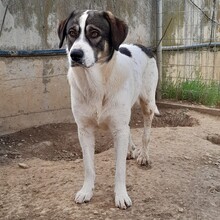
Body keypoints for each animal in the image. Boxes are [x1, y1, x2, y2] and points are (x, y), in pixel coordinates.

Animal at [57, 9, 159, 210]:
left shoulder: (118, 127)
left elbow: (119, 170)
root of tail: (144, 46)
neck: (95, 84)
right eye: (71, 32)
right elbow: (88, 166)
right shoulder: (84, 130)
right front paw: (86, 191)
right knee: (129, 129)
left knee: (146, 133)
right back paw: (130, 150)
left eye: (94, 33)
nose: (75, 55)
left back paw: (143, 155)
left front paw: (121, 195)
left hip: (147, 103)